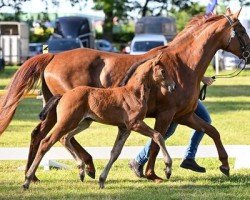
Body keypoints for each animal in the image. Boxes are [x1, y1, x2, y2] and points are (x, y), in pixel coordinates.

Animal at [23, 53, 176, 189]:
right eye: (163, 71)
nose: (173, 86)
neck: (134, 93)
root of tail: (63, 95)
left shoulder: (124, 129)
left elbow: (115, 153)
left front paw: (102, 180)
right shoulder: (135, 124)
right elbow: (158, 135)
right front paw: (168, 169)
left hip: (83, 122)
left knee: (64, 138)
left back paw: (81, 170)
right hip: (68, 121)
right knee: (46, 142)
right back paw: (27, 180)